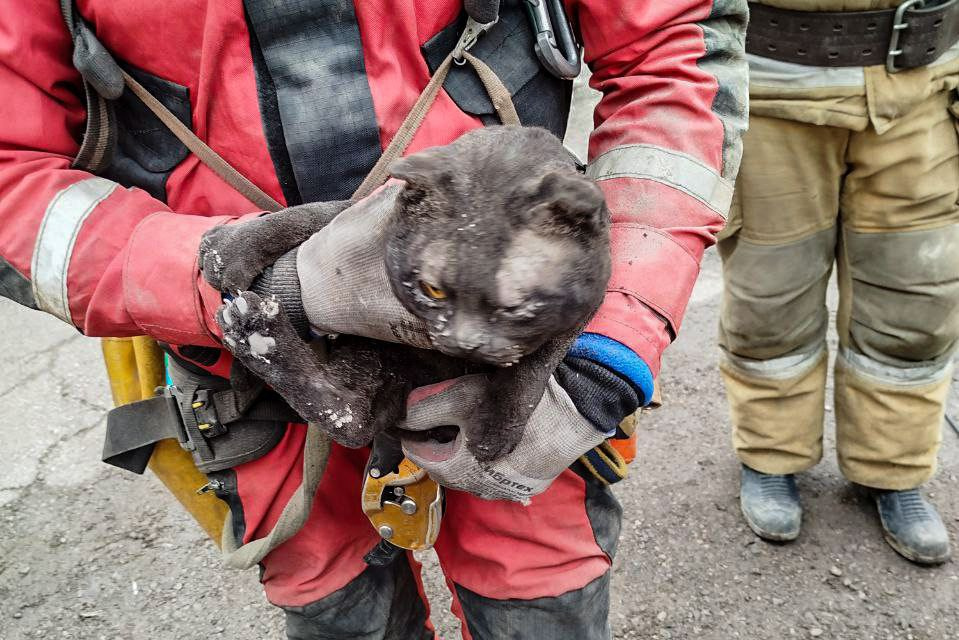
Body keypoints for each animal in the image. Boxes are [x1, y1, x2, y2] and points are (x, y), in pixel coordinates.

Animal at [199, 126, 612, 464]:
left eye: (515, 307)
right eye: (434, 289)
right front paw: (226, 251)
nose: (466, 343)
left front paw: (496, 431)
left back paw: (258, 336)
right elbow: (307, 214)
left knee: (353, 419)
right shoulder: (361, 211)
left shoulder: (582, 308)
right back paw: (256, 334)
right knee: (351, 418)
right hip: (376, 356)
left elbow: (533, 368)